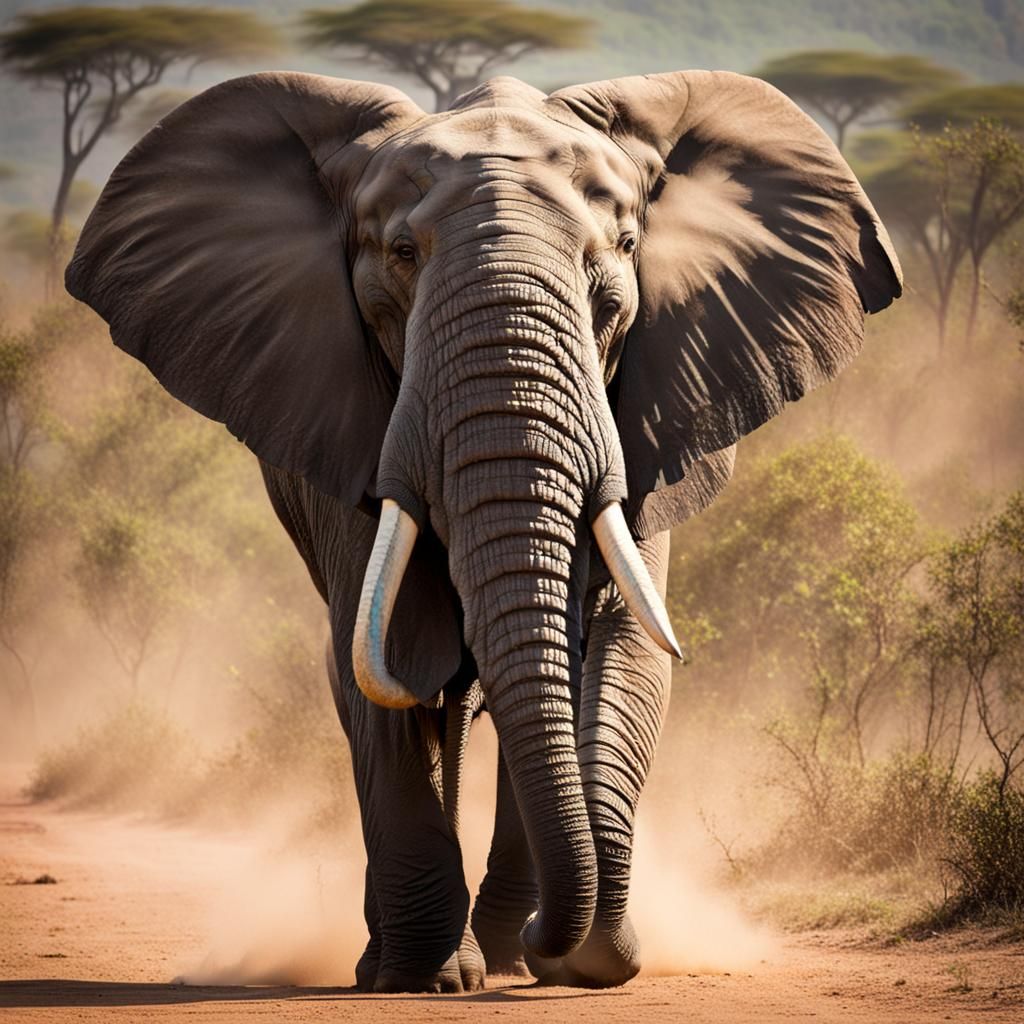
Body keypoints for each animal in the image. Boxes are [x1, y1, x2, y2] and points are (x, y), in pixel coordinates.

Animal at [65, 69, 902, 993]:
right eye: (401, 255)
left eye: (617, 258)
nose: (552, 942)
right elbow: (386, 655)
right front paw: (430, 977)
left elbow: (623, 647)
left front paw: (580, 961)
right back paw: (413, 958)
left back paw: (499, 947)